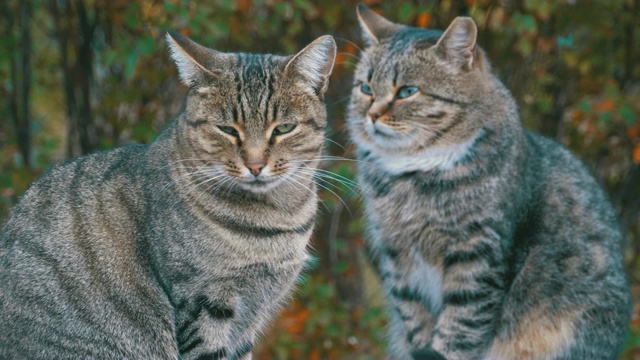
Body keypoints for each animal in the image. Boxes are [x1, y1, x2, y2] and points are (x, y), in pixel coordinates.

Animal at [0, 31, 338, 360]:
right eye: (227, 129)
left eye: (284, 128)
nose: (255, 166)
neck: (275, 218)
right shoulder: (202, 301)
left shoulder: (248, 320)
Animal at [348, 3, 628, 360]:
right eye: (366, 88)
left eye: (408, 91)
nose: (371, 115)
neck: (411, 175)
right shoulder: (398, 256)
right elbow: (414, 318)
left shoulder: (478, 254)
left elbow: (461, 324)